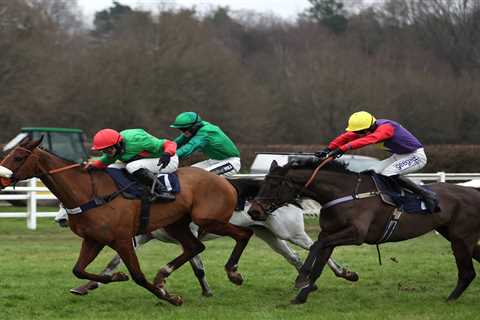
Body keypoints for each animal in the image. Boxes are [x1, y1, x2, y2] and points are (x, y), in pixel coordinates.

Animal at [0, 139, 253, 306]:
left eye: (19, 157)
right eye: (8, 155)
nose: (1, 178)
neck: (89, 193)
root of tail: (226, 183)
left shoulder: (122, 239)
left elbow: (138, 276)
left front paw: (169, 297)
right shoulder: (94, 239)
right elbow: (79, 270)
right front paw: (113, 278)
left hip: (208, 219)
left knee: (243, 234)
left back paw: (233, 272)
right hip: (177, 224)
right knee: (195, 247)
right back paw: (163, 275)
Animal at [248, 159, 480, 304]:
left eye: (274, 184)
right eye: (263, 182)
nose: (253, 211)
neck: (342, 193)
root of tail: (473, 191)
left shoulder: (357, 234)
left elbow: (315, 246)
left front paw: (301, 277)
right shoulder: (329, 234)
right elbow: (319, 261)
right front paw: (301, 297)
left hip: (460, 238)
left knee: (467, 272)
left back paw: (450, 299)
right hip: (456, 235)